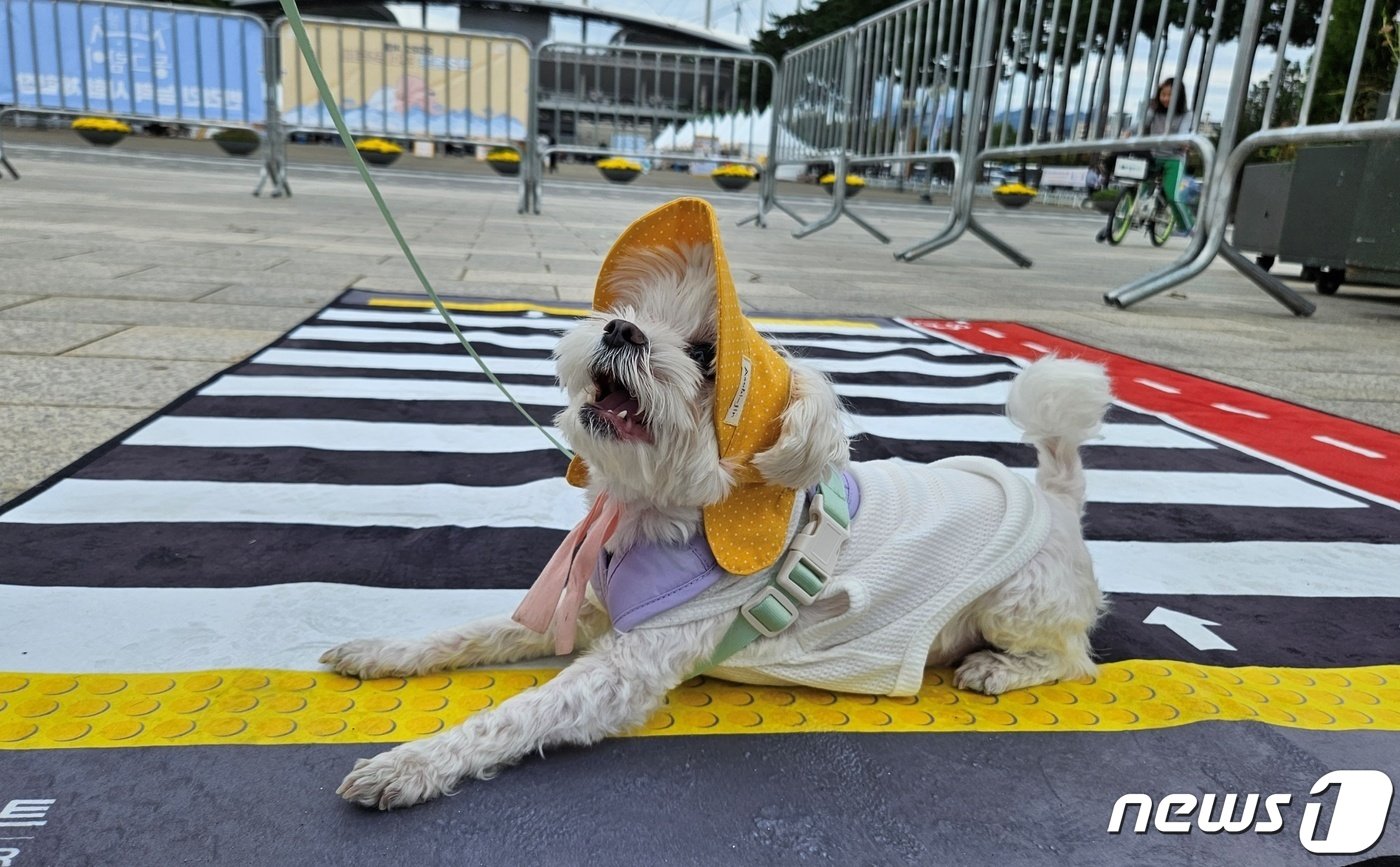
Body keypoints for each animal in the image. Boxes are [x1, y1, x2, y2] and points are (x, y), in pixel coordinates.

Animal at [322, 239, 1108, 812]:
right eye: (630, 307)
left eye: (705, 355)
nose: (621, 327)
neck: (653, 513)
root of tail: (1056, 497)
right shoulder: (592, 605)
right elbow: (471, 631)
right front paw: (383, 651)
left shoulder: (626, 668)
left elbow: (520, 712)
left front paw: (410, 763)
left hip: (1017, 601)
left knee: (1073, 658)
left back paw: (996, 668)